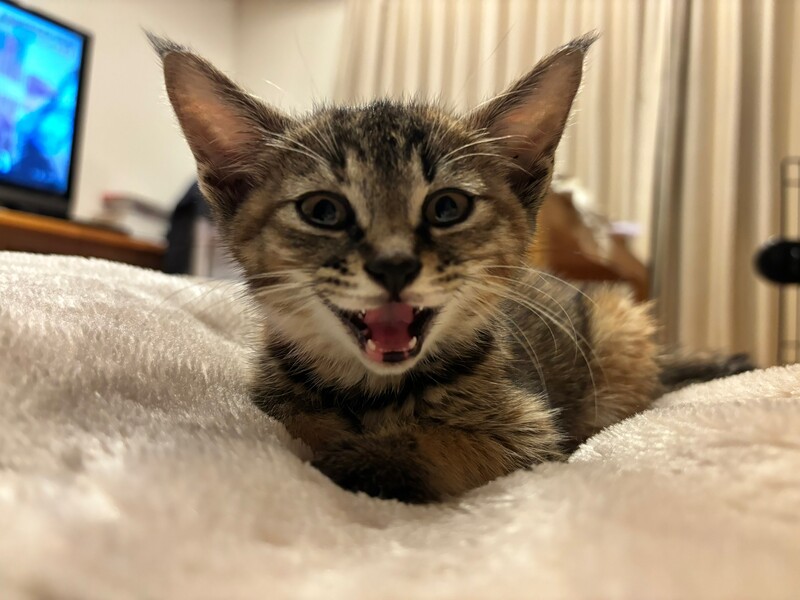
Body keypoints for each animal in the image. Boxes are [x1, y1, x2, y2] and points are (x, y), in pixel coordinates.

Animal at [150, 33, 753, 503]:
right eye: (323, 211)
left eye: (447, 208)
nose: (394, 264)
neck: (374, 393)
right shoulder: (274, 398)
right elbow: (297, 421)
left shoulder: (531, 431)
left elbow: (448, 444)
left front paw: (364, 459)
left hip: (620, 325)